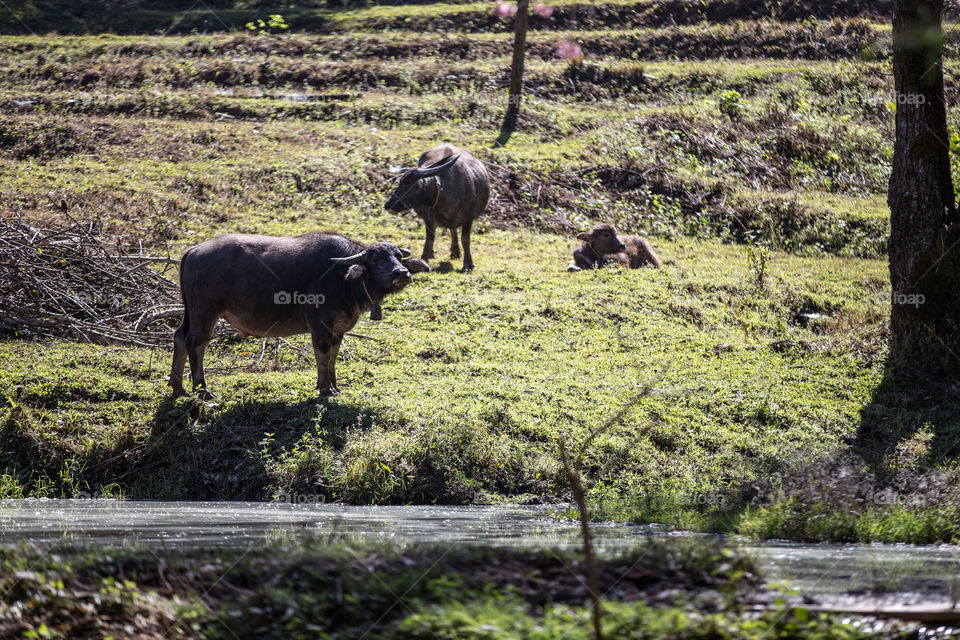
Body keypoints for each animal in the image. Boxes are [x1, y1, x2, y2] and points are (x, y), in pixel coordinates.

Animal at [169, 232, 428, 398]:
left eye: (398, 256)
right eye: (377, 258)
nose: (402, 273)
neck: (344, 278)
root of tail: (193, 251)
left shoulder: (338, 328)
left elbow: (333, 356)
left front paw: (335, 387)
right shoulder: (320, 324)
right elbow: (322, 354)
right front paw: (324, 389)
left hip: (191, 313)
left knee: (179, 337)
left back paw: (178, 387)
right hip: (205, 312)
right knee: (197, 344)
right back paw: (202, 390)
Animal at [382, 144, 488, 272]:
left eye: (407, 182)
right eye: (400, 181)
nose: (388, 204)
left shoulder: (469, 218)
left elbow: (465, 239)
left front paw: (468, 264)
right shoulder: (429, 217)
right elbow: (429, 238)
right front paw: (424, 259)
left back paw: (455, 253)